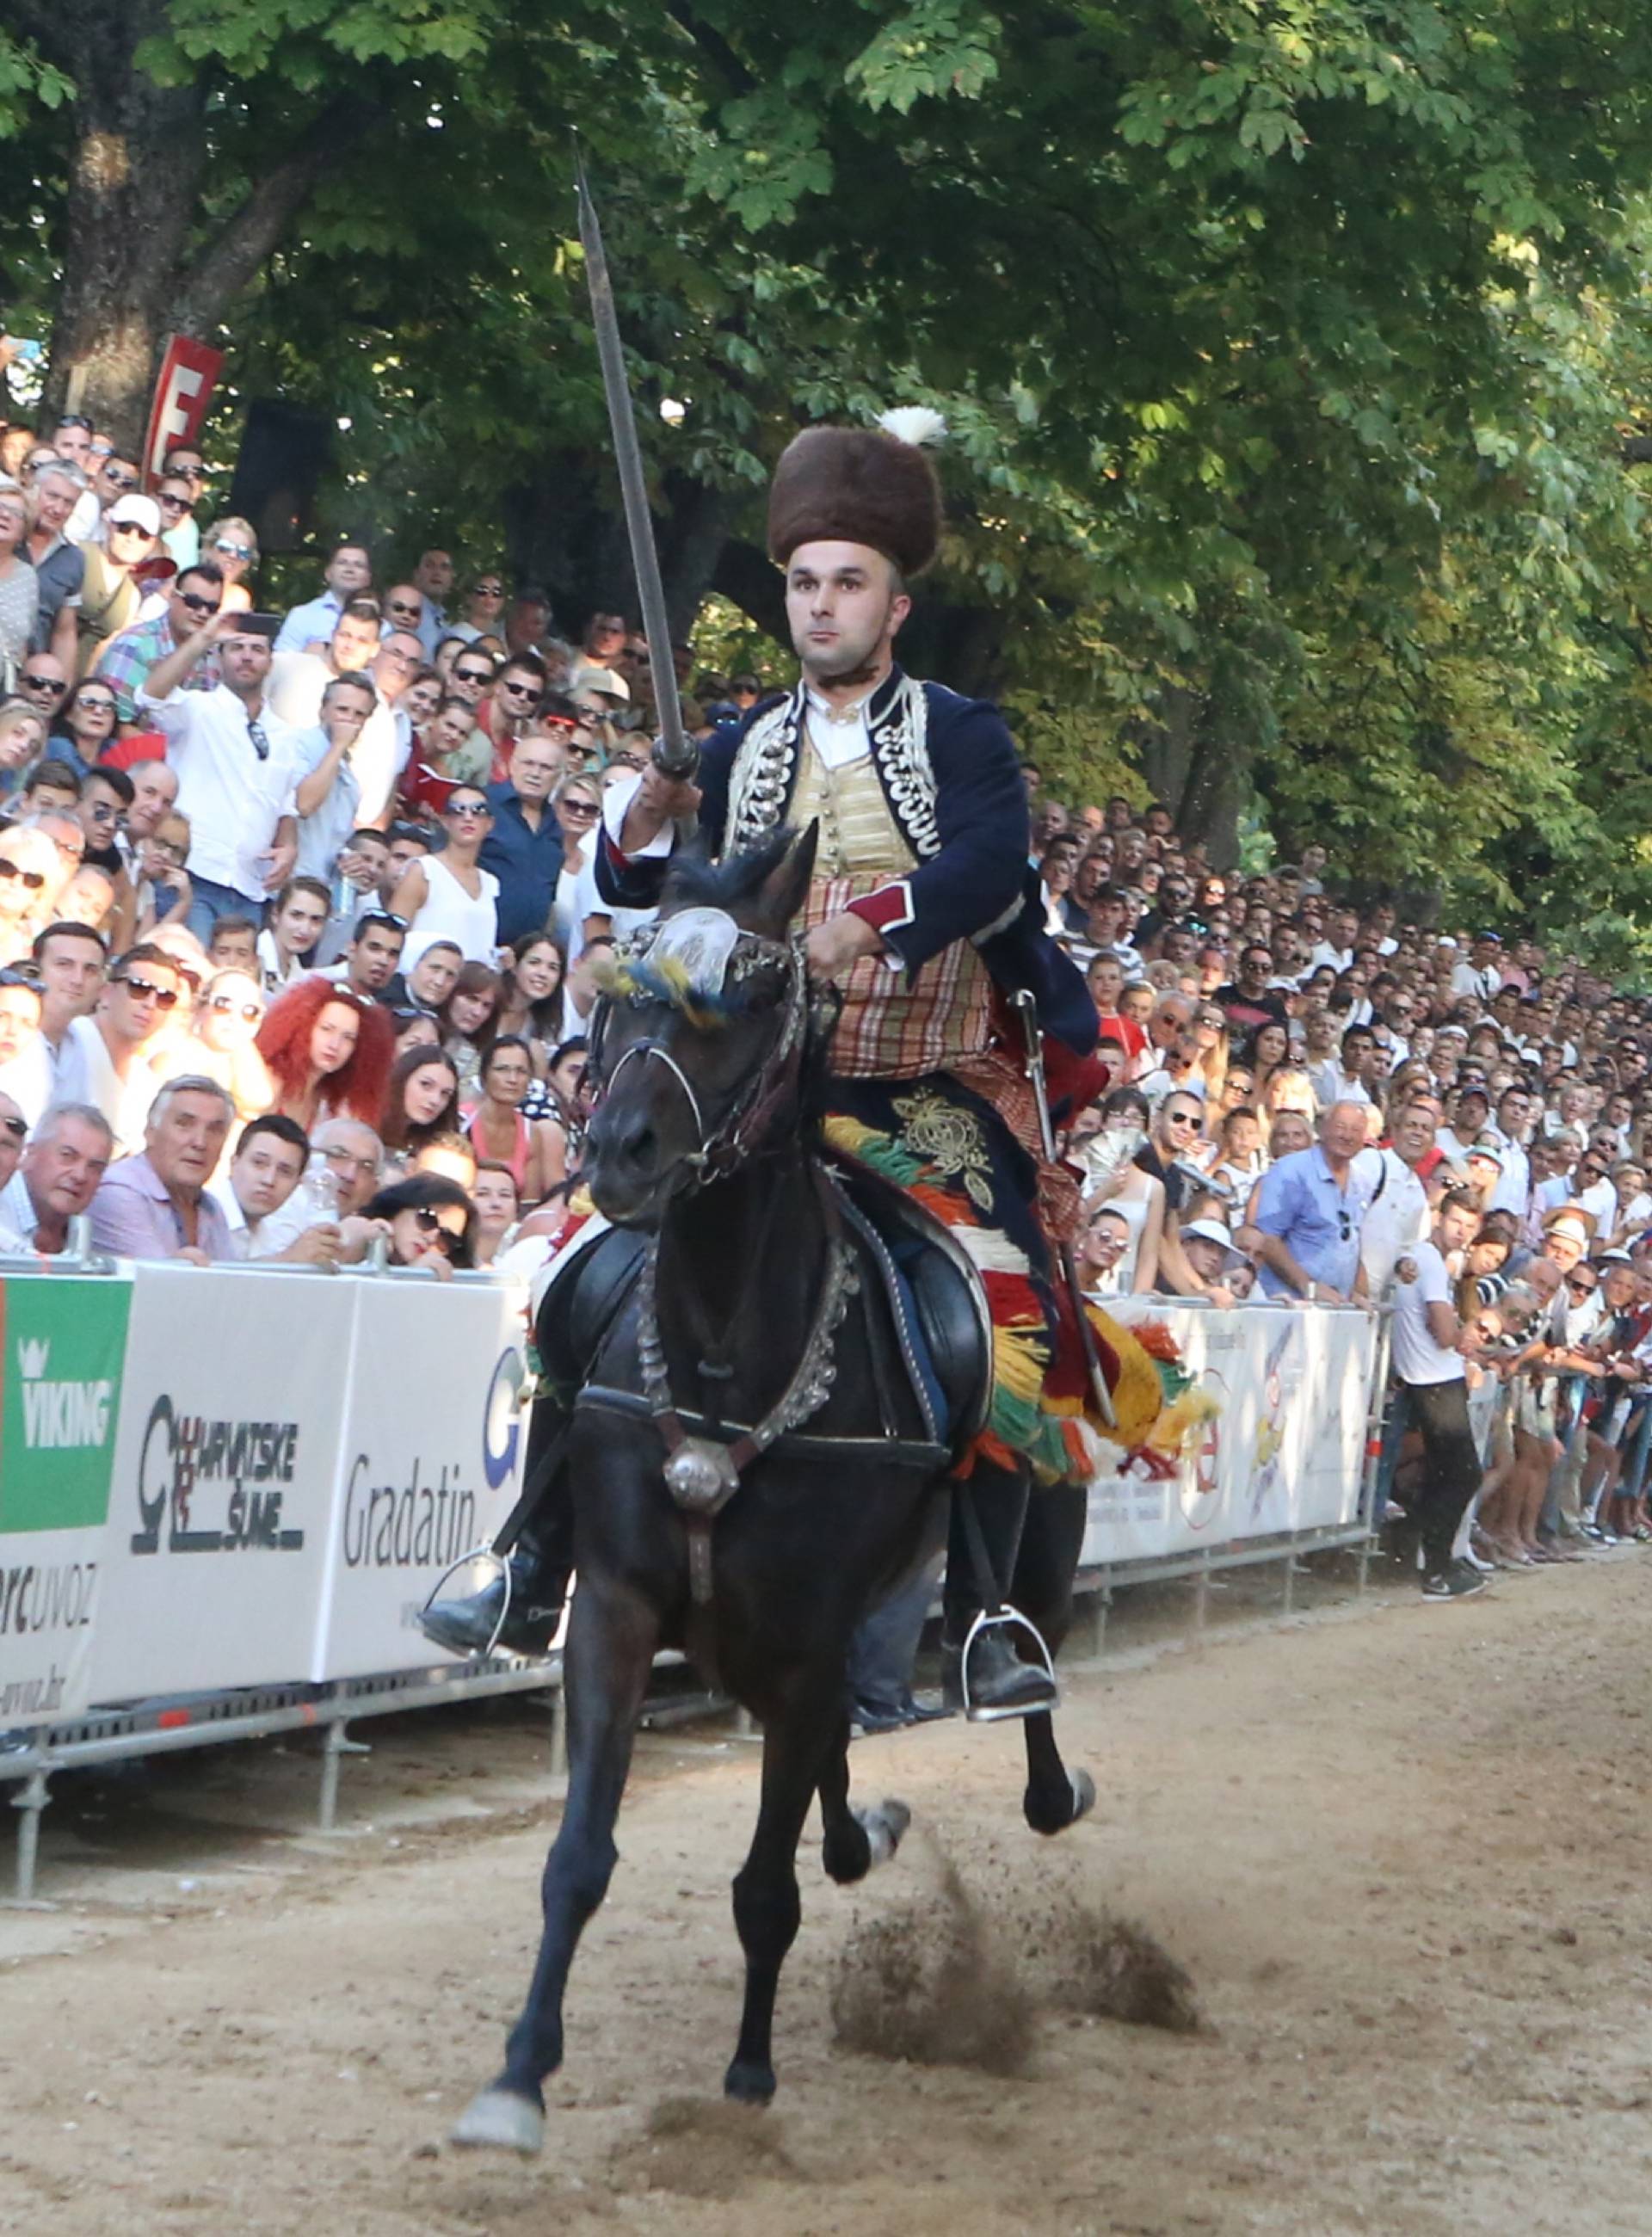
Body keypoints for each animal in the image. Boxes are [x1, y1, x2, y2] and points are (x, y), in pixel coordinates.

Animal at [454, 827, 1092, 2148]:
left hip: (1022, 1556)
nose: (618, 1154)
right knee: (840, 1766)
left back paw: (1037, 1758)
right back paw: (866, 1833)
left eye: (745, 1003)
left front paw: (749, 2075)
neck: (725, 1354)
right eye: (620, 996)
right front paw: (519, 2076)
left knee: (1022, 1667)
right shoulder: (623, 1609)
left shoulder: (802, 1640)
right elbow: (580, 1855)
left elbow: (762, 1885)